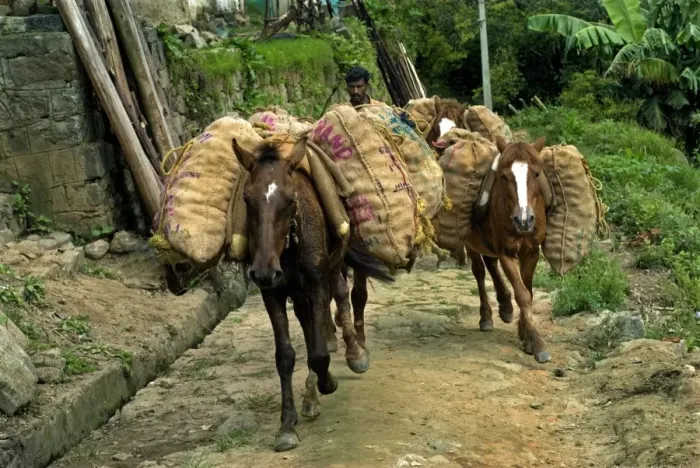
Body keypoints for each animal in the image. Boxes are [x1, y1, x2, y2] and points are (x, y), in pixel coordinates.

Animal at [232, 136, 394, 452]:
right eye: (247, 199)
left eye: (290, 200)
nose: (263, 271)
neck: (288, 246)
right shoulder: (272, 292)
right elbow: (285, 356)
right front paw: (286, 425)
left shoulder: (318, 281)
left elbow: (319, 353)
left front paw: (327, 382)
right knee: (308, 321)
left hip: (332, 269)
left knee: (340, 298)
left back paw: (351, 357)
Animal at [464, 135, 552, 364]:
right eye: (504, 177)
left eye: (536, 173)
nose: (524, 220)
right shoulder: (506, 252)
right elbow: (522, 294)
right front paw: (537, 343)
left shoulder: (531, 252)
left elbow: (528, 291)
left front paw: (525, 335)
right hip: (470, 242)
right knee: (479, 271)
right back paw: (487, 316)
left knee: (490, 263)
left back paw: (505, 306)